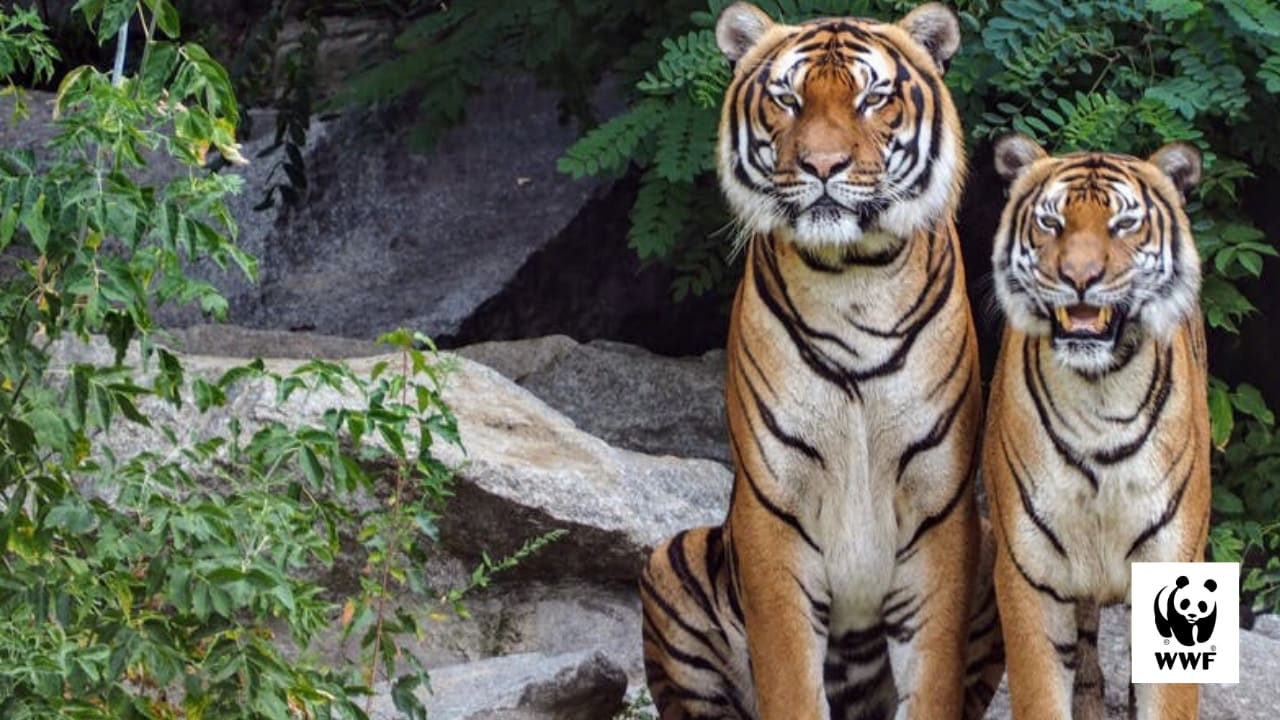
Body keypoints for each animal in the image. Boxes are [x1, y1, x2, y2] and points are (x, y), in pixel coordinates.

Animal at [639, 3, 1004, 719]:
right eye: (788, 99)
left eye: (872, 98)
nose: (823, 165)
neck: (852, 277)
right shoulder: (774, 509)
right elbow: (789, 679)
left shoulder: (940, 512)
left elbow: (933, 681)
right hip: (673, 561)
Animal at [983, 133, 1211, 720]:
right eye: (1051, 223)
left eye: (1124, 225)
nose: (1079, 278)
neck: (1100, 397)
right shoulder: (1029, 575)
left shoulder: (1172, 556)